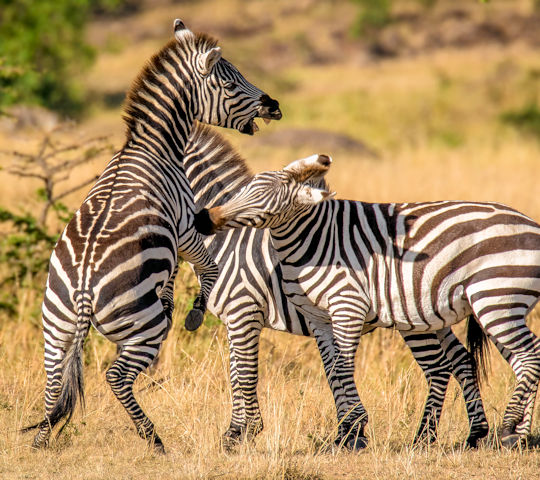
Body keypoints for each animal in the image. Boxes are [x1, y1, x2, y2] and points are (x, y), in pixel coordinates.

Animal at [23, 18, 280, 454]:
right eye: (230, 84)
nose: (274, 105)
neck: (153, 147)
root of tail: (83, 291)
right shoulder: (185, 226)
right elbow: (208, 268)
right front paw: (193, 309)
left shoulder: (173, 239)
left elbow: (179, 274)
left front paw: (173, 299)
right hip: (144, 328)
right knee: (116, 376)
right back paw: (153, 438)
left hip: (55, 325)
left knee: (54, 383)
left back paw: (42, 440)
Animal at [197, 152, 540, 448]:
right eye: (242, 190)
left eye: (263, 201)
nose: (205, 219)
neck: (313, 240)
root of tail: (530, 224)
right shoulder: (318, 317)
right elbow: (330, 370)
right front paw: (347, 430)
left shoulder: (339, 306)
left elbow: (331, 368)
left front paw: (350, 433)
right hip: (484, 306)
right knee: (502, 361)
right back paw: (507, 436)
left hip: (495, 299)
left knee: (524, 355)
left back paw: (503, 429)